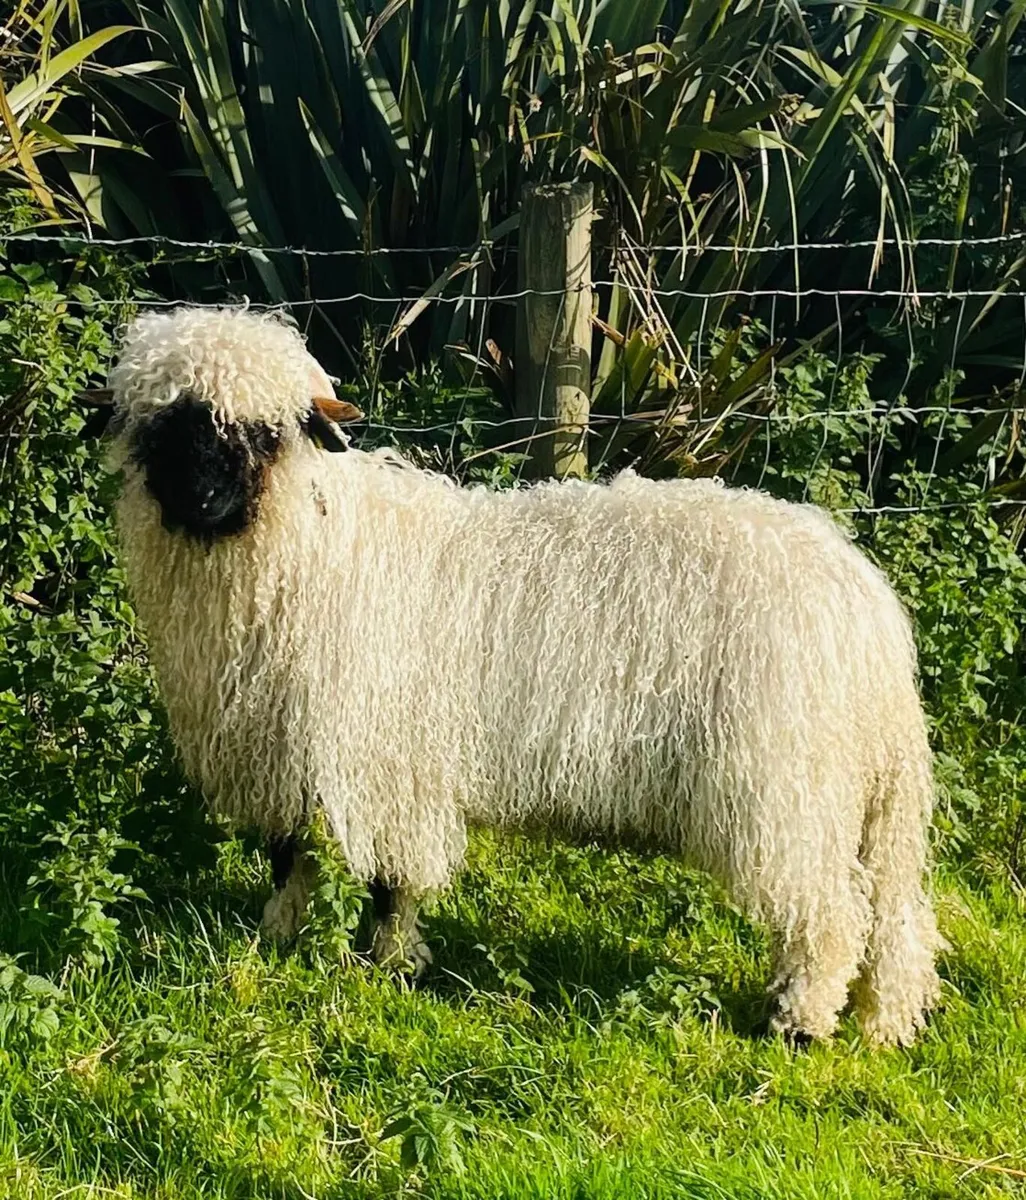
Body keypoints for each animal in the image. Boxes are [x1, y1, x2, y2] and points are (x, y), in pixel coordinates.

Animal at [84, 304, 943, 1046]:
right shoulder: (284, 752)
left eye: (267, 434)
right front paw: (279, 934)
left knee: (830, 910)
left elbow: (393, 881)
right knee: (874, 912)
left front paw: (393, 963)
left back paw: (800, 1020)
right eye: (162, 427)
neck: (311, 549)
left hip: (784, 786)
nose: (204, 497)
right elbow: (291, 859)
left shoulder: (388, 766)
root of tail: (866, 605)